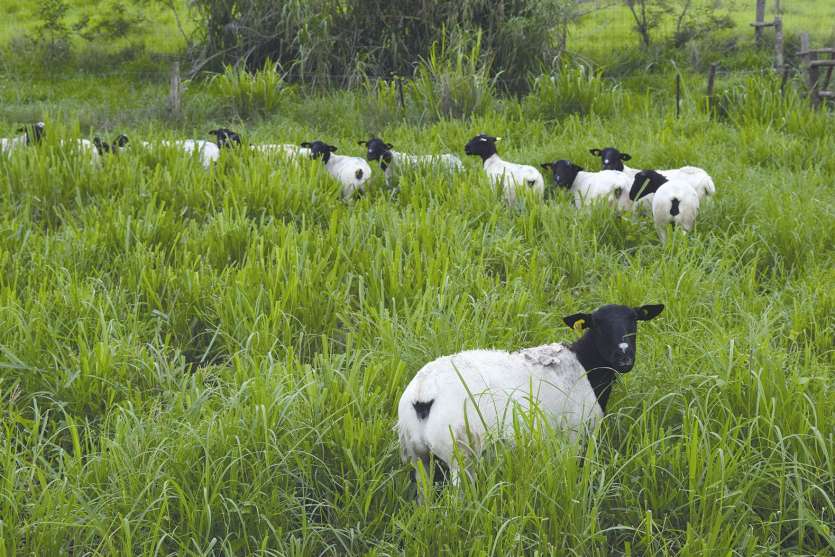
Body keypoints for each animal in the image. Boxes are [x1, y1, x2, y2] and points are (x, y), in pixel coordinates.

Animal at [397, 303, 665, 489]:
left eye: (634, 320)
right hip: (460, 452)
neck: (586, 365)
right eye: (596, 324)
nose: (624, 357)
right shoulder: (575, 435)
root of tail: (423, 393)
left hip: (418, 455)